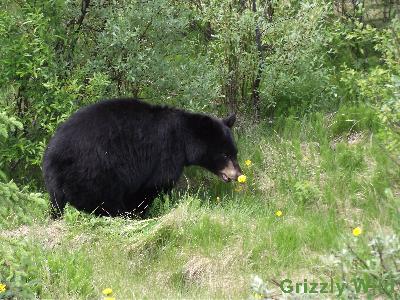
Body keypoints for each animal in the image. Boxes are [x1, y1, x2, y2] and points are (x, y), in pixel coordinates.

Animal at [43, 98, 241, 218]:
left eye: (235, 152)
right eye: (224, 154)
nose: (238, 174)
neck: (183, 140)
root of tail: (52, 156)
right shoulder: (165, 155)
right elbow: (151, 186)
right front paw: (138, 215)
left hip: (59, 185)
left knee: (57, 204)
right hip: (95, 172)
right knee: (102, 200)